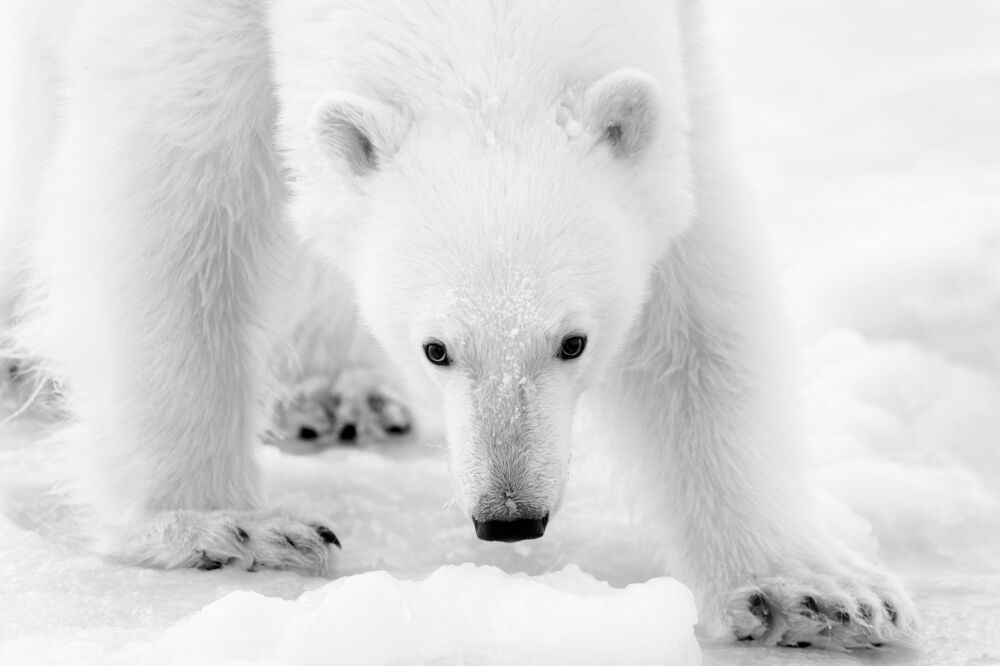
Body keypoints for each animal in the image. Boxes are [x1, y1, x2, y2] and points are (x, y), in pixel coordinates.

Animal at [0, 0, 916, 648]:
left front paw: (815, 594)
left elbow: (697, 289)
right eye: (435, 347)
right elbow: (171, 202)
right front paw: (228, 525)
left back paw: (336, 392)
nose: (509, 517)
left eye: (574, 341)